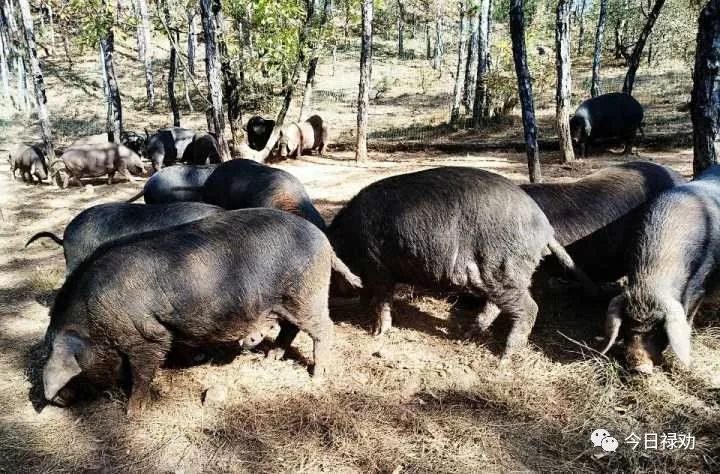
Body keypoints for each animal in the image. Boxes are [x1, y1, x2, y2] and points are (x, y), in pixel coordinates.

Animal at [40, 209, 360, 412]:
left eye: (73, 373)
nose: (57, 400)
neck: (94, 320)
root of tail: (325, 242)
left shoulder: (147, 336)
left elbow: (143, 372)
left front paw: (132, 412)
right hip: (288, 299)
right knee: (290, 328)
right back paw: (271, 356)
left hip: (307, 294)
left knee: (324, 330)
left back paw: (317, 375)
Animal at [328, 167, 596, 360]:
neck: (346, 240)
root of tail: (545, 229)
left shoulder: (378, 265)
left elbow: (382, 299)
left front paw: (376, 333)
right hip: (498, 275)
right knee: (495, 305)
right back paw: (466, 334)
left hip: (503, 267)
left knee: (529, 308)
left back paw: (504, 358)